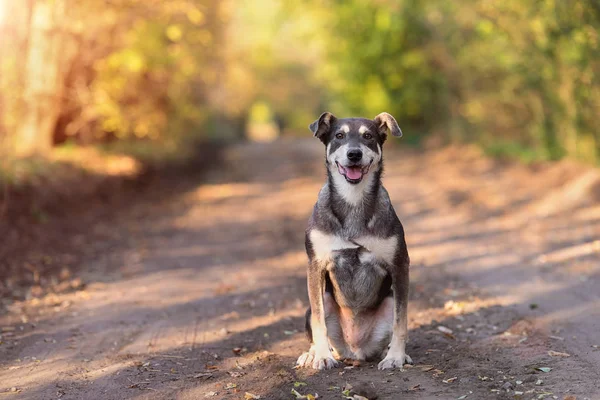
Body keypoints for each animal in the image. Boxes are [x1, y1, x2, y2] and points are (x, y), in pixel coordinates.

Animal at [296, 111, 412, 370]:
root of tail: (354, 350)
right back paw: (313, 353)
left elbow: (401, 322)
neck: (353, 200)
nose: (354, 154)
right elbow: (319, 321)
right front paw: (322, 357)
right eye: (339, 136)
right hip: (322, 299)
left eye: (368, 136)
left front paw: (396, 357)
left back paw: (389, 352)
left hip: (389, 301)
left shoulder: (400, 266)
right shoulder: (315, 266)